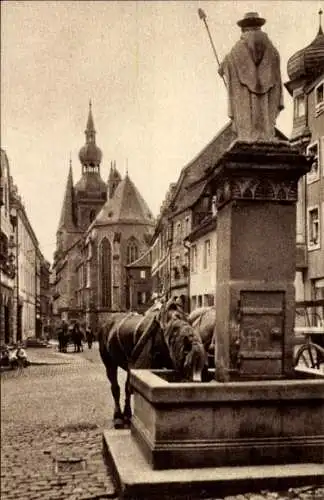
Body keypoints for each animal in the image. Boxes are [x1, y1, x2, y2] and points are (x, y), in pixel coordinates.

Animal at [97, 298, 208, 428]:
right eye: (187, 362)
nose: (197, 379)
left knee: (126, 386)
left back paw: (127, 416)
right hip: (109, 362)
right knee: (115, 386)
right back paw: (118, 418)